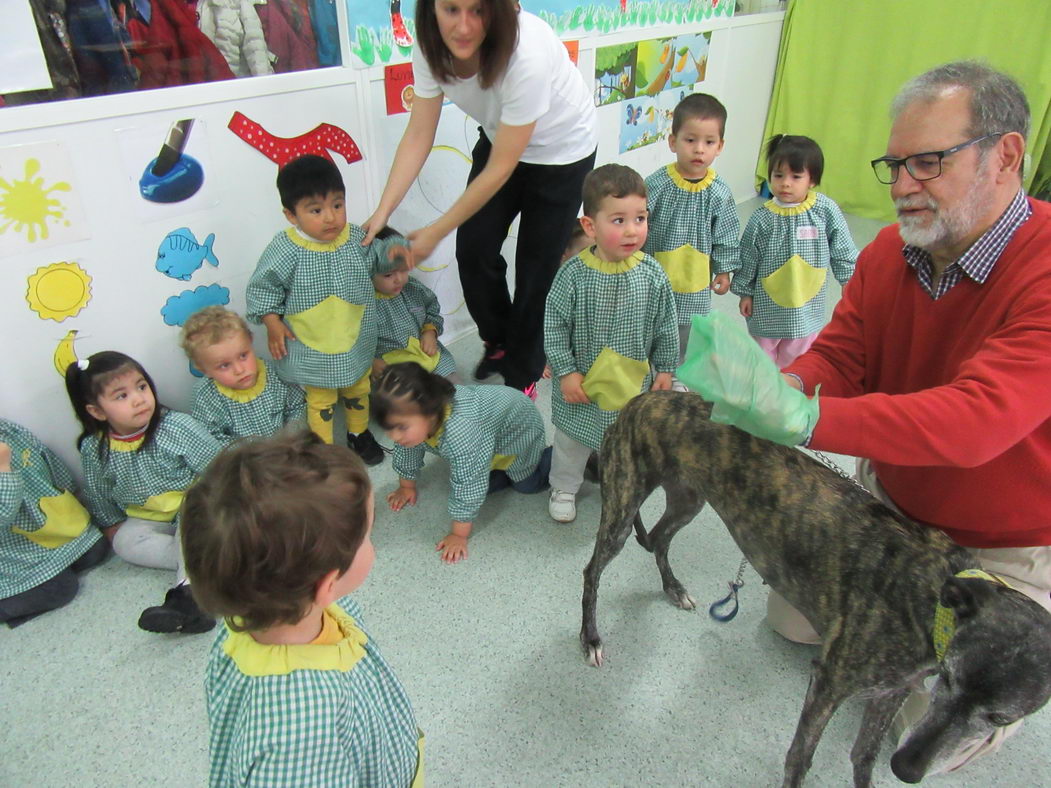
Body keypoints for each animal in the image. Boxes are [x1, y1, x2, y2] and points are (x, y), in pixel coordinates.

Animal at [580, 392, 1051, 785]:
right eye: (950, 680)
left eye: (999, 718)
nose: (906, 769)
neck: (935, 597)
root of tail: (645, 397)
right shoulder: (828, 683)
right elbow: (800, 757)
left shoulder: (892, 691)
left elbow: (863, 756)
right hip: (624, 506)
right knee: (593, 571)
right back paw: (591, 638)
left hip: (687, 497)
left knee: (659, 538)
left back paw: (673, 588)